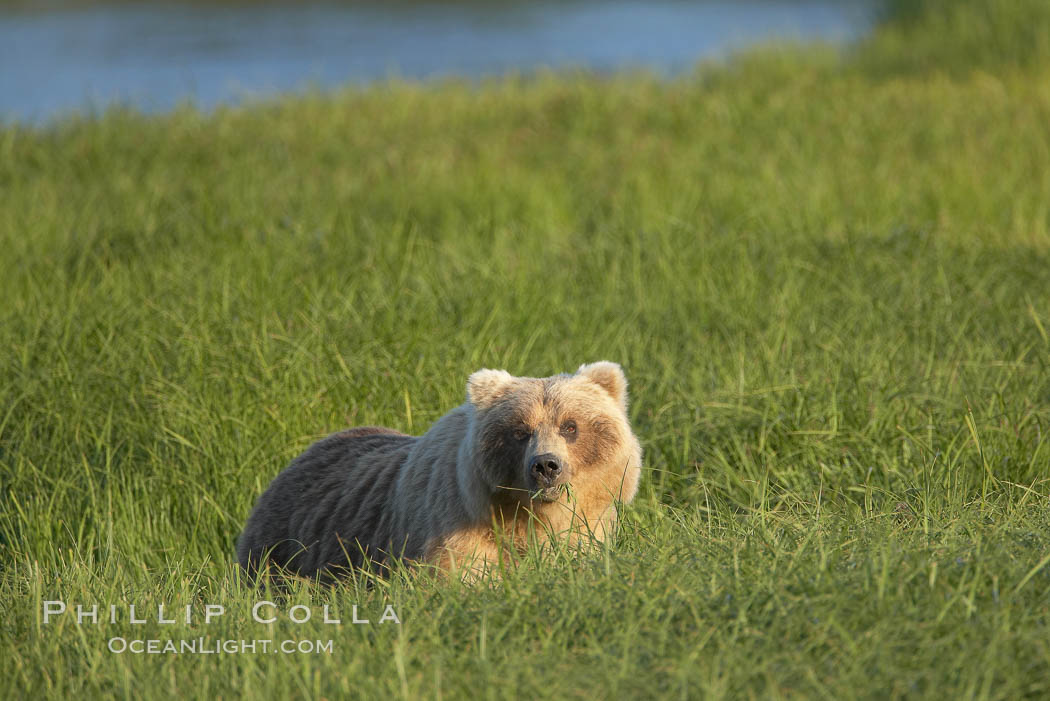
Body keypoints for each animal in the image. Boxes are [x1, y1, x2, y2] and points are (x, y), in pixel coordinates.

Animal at [237, 360, 642, 579]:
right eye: (519, 431)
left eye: (570, 426)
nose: (545, 465)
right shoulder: (453, 530)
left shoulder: (586, 532)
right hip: (282, 550)